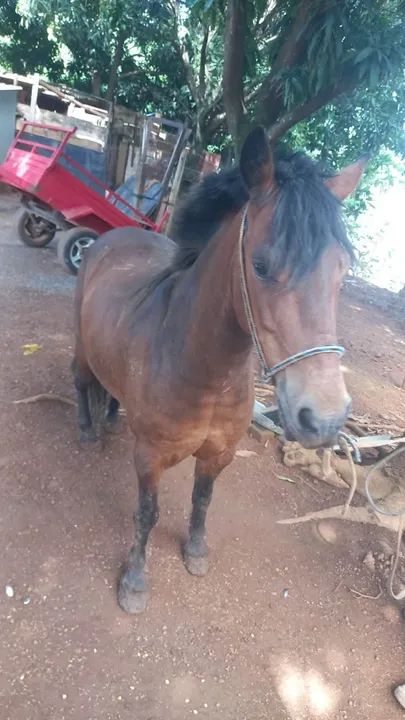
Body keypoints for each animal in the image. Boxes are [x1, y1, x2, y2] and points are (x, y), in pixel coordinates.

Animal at [72, 127, 366, 613]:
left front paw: (195, 551)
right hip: (80, 345)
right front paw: (134, 582)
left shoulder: (219, 454)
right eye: (261, 265)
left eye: (343, 270)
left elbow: (202, 500)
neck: (206, 373)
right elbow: (147, 514)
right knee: (81, 381)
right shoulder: (149, 457)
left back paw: (112, 419)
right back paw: (85, 429)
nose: (324, 419)